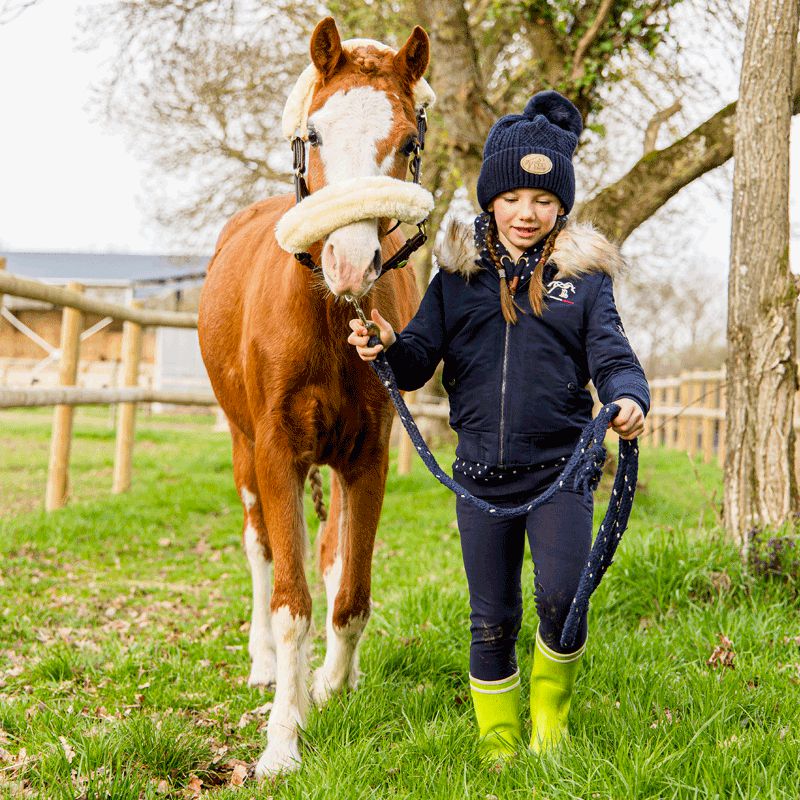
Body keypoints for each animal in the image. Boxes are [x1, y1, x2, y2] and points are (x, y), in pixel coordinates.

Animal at [198, 18, 428, 780]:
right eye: (316, 133)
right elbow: (291, 602)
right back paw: (267, 667)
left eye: (407, 142)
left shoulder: (366, 458)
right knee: (262, 548)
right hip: (243, 449)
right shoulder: (277, 452)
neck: (330, 317)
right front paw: (281, 740)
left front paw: (333, 684)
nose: (350, 265)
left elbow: (349, 593)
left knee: (327, 555)